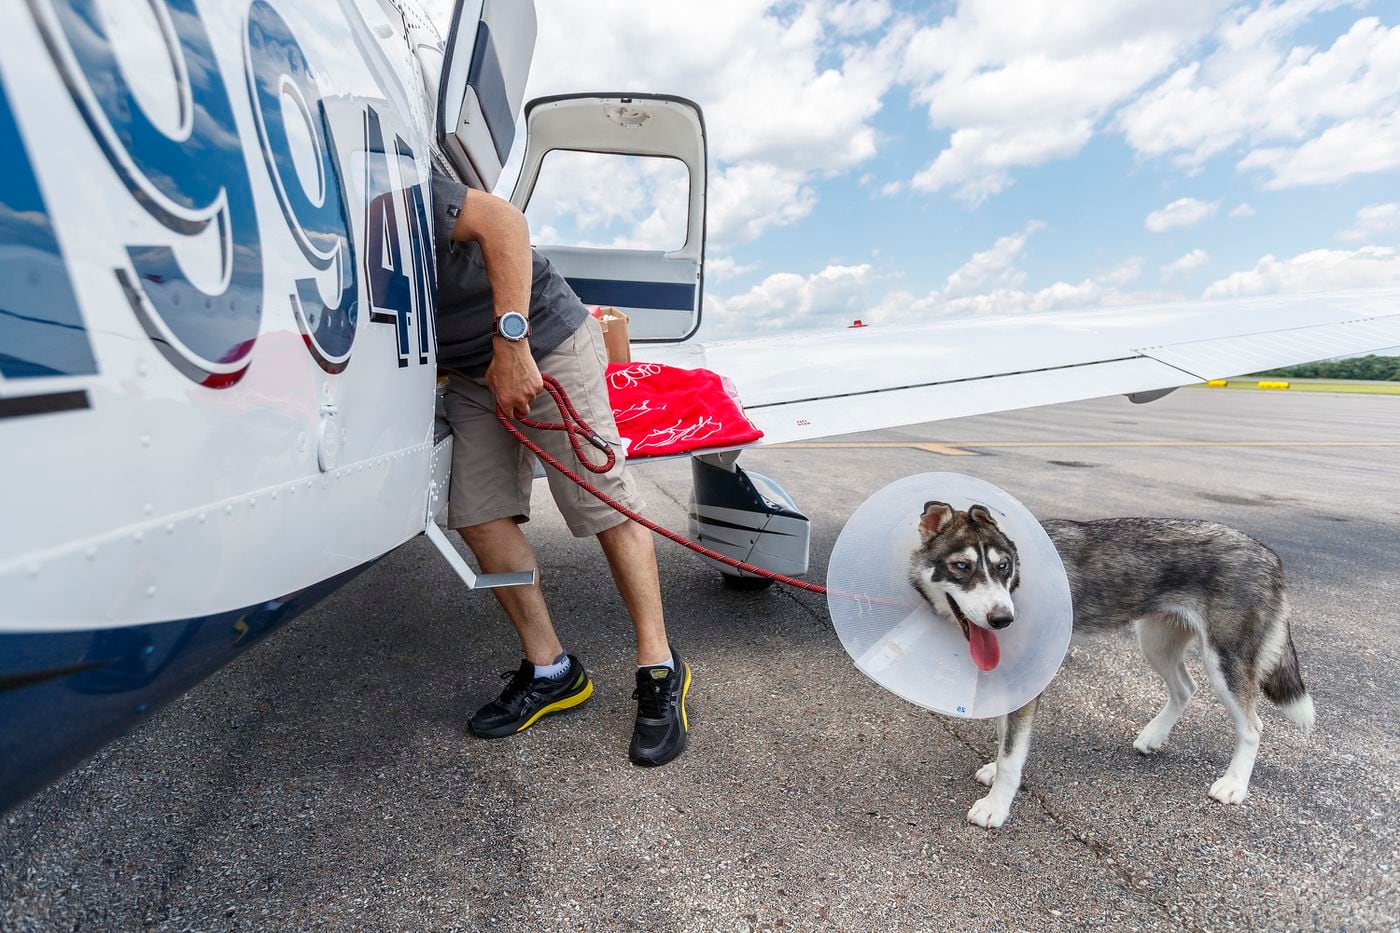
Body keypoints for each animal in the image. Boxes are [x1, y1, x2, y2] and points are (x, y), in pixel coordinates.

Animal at [909, 501, 1315, 829]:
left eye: (1004, 567)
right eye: (961, 566)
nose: (1003, 619)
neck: (1018, 586)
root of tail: (1268, 553)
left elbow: (1012, 751)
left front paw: (996, 805)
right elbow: (1005, 737)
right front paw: (995, 772)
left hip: (1225, 661)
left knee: (1253, 726)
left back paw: (1234, 784)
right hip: (1156, 642)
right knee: (1186, 688)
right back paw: (1154, 736)